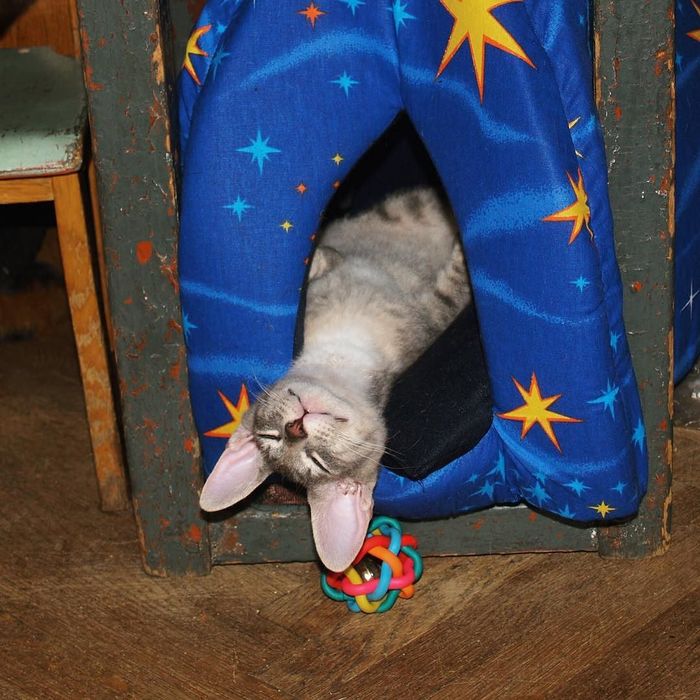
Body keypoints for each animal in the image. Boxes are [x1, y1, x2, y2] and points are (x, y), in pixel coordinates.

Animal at [199, 188, 471, 571]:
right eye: (316, 462)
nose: (295, 428)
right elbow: (454, 285)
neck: (345, 350)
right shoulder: (431, 318)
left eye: (268, 435)